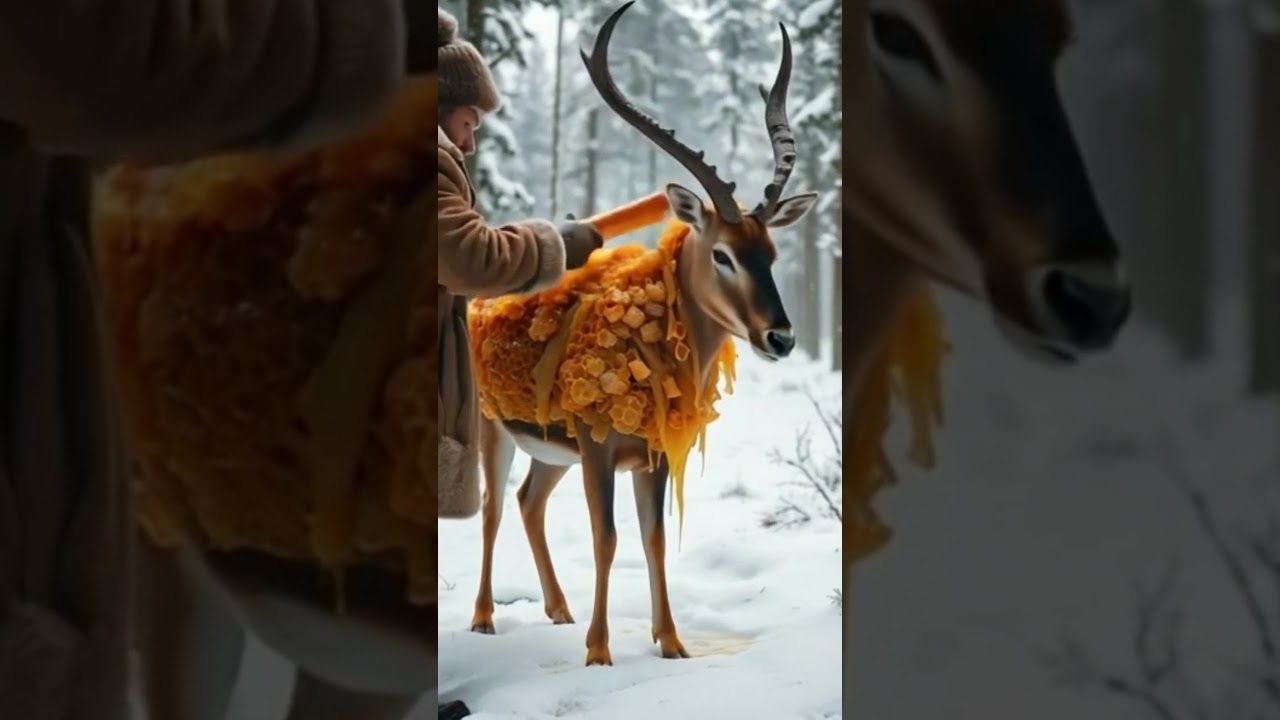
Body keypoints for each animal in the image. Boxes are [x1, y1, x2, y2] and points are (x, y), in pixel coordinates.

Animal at [467, 1, 818, 667]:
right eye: (723, 255)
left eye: (773, 252)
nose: (781, 337)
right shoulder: (598, 442)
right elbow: (606, 537)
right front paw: (599, 651)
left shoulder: (648, 450)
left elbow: (654, 537)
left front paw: (673, 643)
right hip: (493, 424)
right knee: (493, 507)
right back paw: (483, 619)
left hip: (553, 445)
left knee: (529, 500)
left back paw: (558, 609)